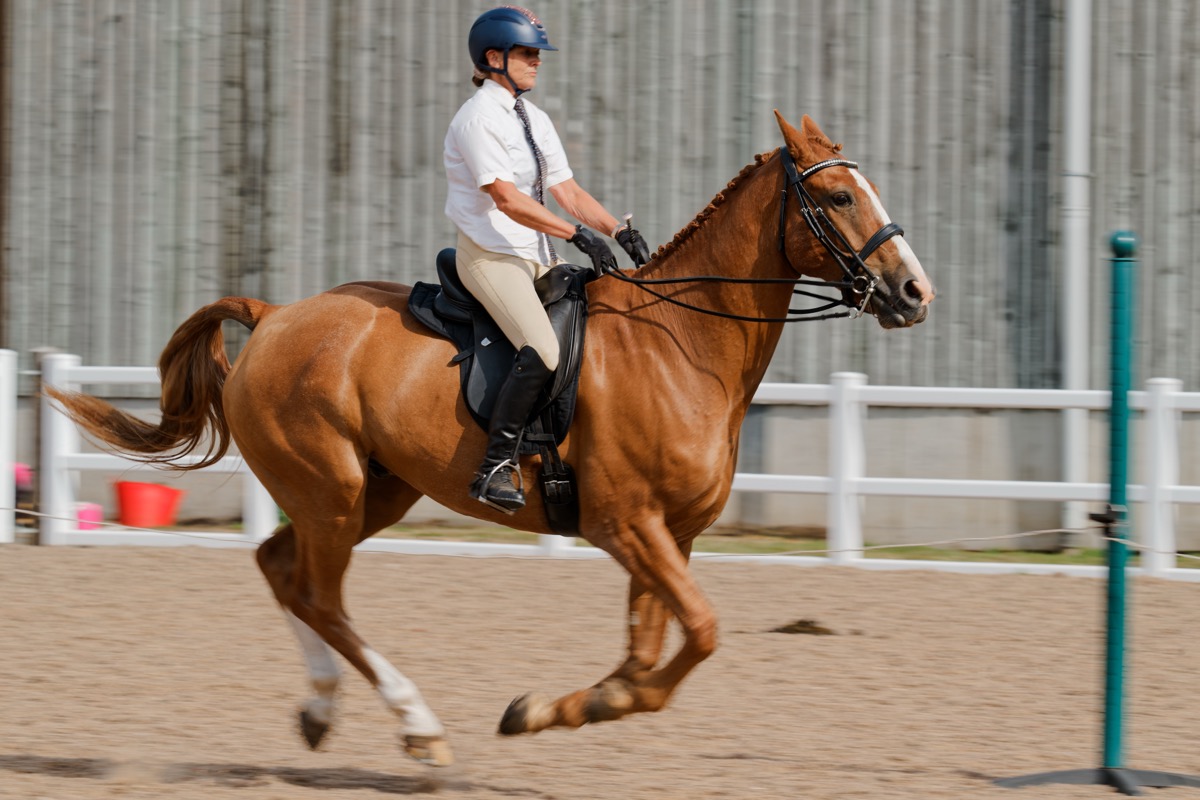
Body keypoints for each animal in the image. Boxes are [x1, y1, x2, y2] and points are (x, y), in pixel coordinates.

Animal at [47, 112, 933, 767]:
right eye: (841, 198)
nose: (915, 292)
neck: (680, 345)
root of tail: (273, 317)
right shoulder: (625, 525)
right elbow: (700, 634)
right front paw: (559, 706)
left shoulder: (668, 535)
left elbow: (648, 659)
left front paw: (556, 707)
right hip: (332, 492)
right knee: (319, 595)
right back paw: (418, 726)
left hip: (375, 492)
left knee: (281, 569)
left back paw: (322, 711)